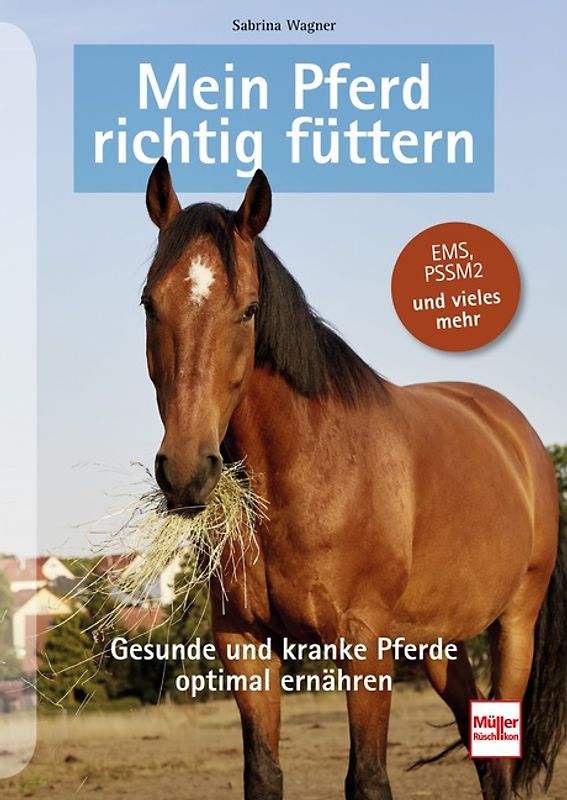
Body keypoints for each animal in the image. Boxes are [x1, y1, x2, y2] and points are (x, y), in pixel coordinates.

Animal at [141, 157, 566, 800]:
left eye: (248, 310)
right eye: (149, 304)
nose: (187, 472)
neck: (305, 471)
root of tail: (518, 435)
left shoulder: (364, 645)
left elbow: (366, 778)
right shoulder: (244, 644)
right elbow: (263, 773)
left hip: (515, 623)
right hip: (439, 643)